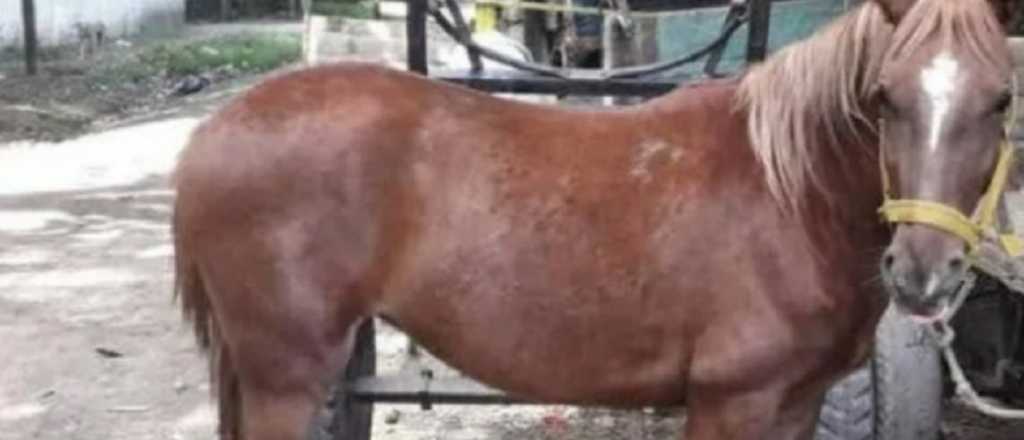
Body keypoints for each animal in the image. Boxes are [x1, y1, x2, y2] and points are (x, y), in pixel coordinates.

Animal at [171, 0, 1017, 438]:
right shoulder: (731, 402)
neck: (788, 192)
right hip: (287, 375)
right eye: (884, 97)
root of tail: (217, 131)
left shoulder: (796, 403)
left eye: (1002, 99)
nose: (923, 271)